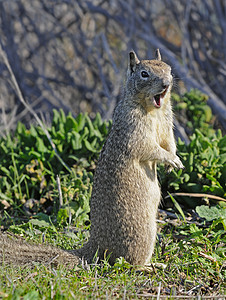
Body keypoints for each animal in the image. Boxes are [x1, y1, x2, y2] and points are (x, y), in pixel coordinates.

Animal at [0, 49, 184, 268]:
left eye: (169, 69)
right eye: (144, 74)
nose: (166, 83)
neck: (153, 110)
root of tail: (95, 249)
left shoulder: (166, 126)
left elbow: (169, 143)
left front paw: (174, 162)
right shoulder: (134, 132)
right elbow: (149, 148)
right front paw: (171, 160)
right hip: (144, 234)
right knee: (127, 262)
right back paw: (151, 266)